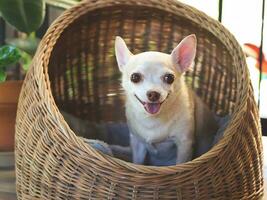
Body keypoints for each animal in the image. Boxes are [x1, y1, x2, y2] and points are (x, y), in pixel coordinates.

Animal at [114, 35, 218, 165]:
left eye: (169, 78)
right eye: (135, 77)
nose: (153, 94)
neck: (153, 119)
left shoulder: (184, 144)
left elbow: (181, 162)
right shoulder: (137, 143)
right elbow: (137, 162)